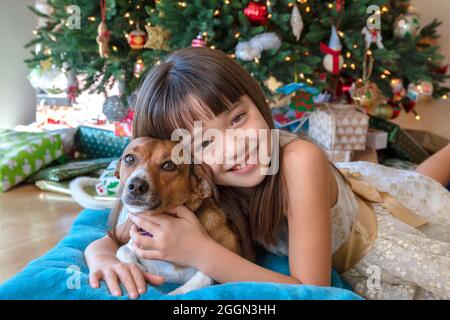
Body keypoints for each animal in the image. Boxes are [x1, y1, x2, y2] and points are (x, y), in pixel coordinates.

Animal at [70, 138, 243, 296]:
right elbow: (122, 250)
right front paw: (138, 268)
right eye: (129, 158)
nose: (136, 186)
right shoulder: (133, 241)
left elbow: (202, 277)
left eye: (169, 165)